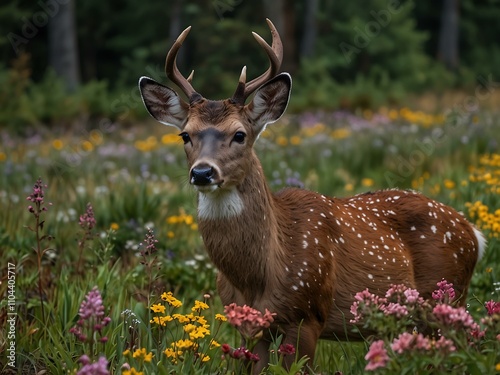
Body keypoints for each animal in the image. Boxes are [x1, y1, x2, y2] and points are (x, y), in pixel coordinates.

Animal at [139, 19, 486, 374]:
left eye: (240, 134)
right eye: (185, 135)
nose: (203, 172)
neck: (258, 276)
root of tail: (474, 233)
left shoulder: (307, 313)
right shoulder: (249, 324)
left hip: (445, 294)